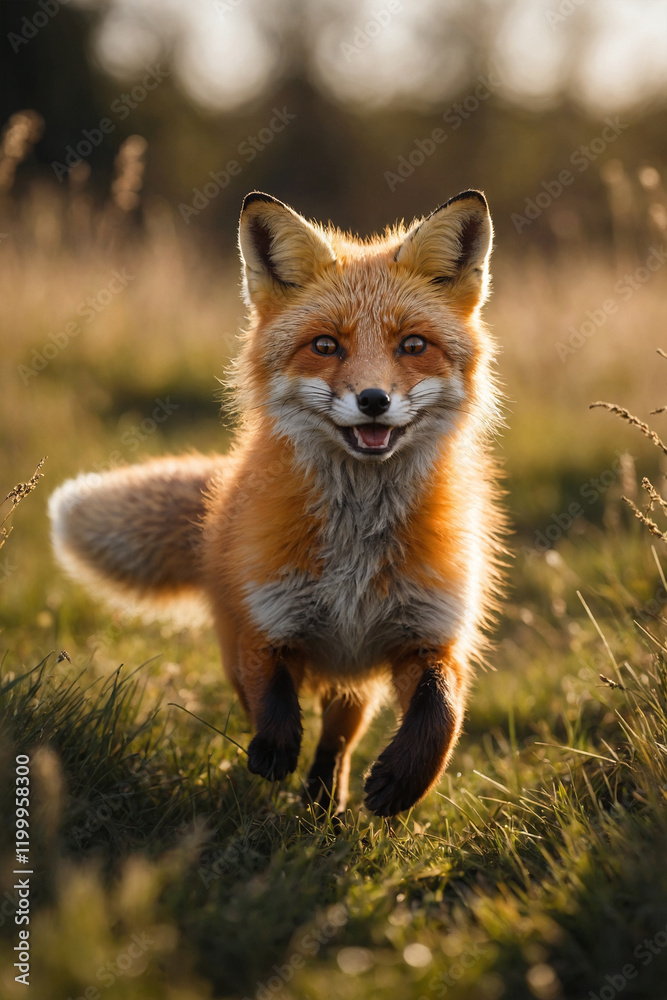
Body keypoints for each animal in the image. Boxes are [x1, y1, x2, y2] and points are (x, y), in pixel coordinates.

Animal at [49, 189, 505, 817]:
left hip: (355, 682)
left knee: (339, 738)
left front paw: (405, 779)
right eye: (325, 346)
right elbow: (271, 695)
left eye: (412, 345)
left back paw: (324, 803)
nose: (374, 400)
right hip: (239, 647)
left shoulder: (430, 631)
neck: (355, 549)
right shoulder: (266, 620)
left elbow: (443, 711)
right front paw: (272, 753)